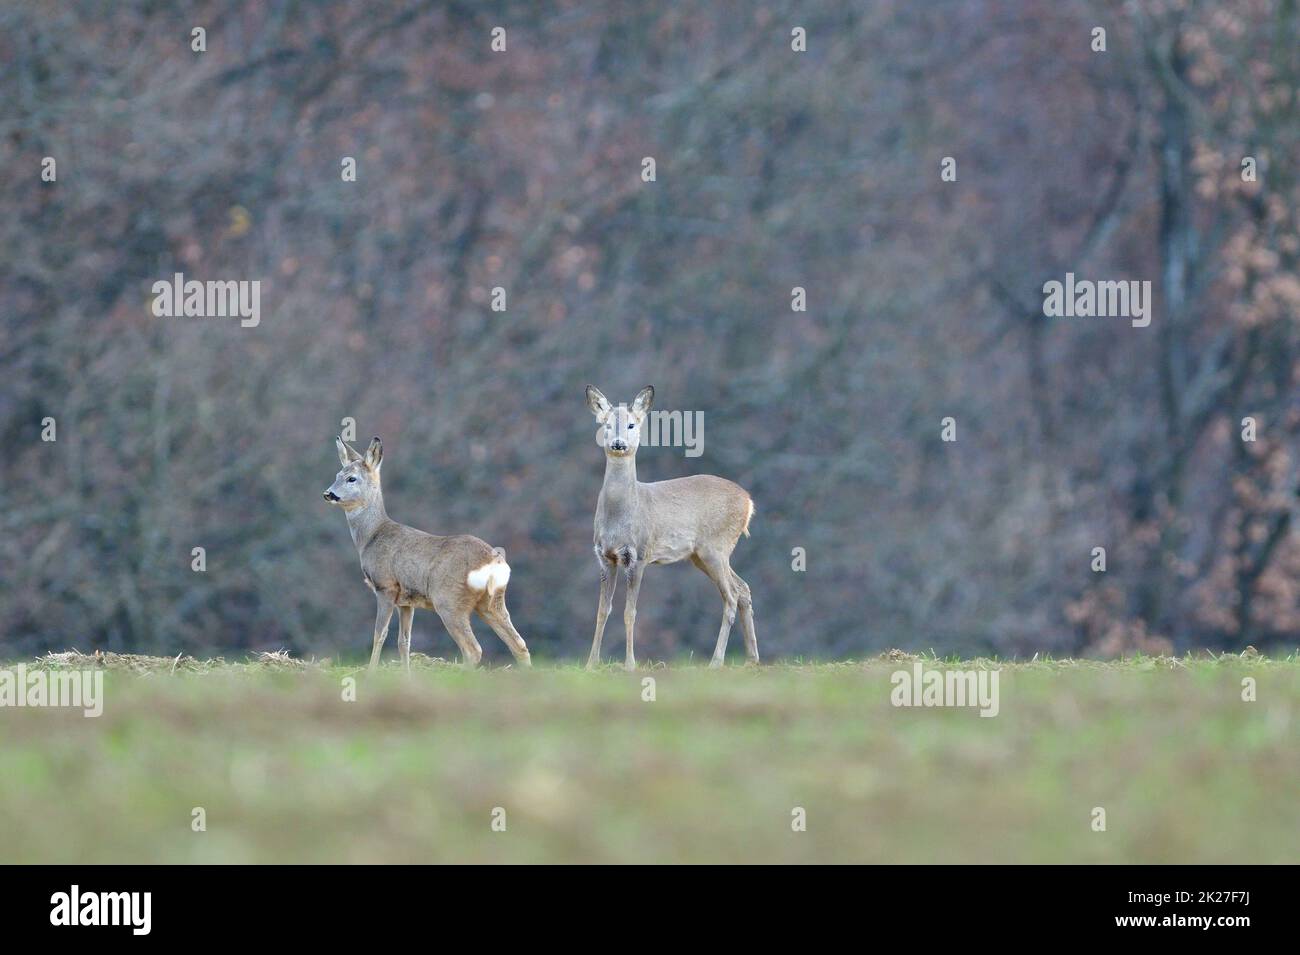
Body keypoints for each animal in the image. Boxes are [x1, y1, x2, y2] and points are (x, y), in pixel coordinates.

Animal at [322, 436, 531, 671]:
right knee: (519, 645)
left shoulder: (385, 586)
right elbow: (404, 641)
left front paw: (371, 672)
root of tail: (494, 563)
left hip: (449, 601)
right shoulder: (406, 601)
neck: (371, 535)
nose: (328, 493)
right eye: (337, 475)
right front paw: (406, 675)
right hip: (492, 602)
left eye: (352, 478)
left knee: (473, 649)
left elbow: (379, 634)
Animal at [584, 385, 759, 670]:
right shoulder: (605, 557)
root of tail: (748, 502)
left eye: (632, 424)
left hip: (716, 546)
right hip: (700, 555)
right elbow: (602, 611)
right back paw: (752, 658)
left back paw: (716, 661)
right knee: (743, 589)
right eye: (606, 424)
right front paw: (591, 664)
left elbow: (630, 611)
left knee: (731, 596)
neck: (621, 515)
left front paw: (630, 664)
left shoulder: (638, 554)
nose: (619, 444)